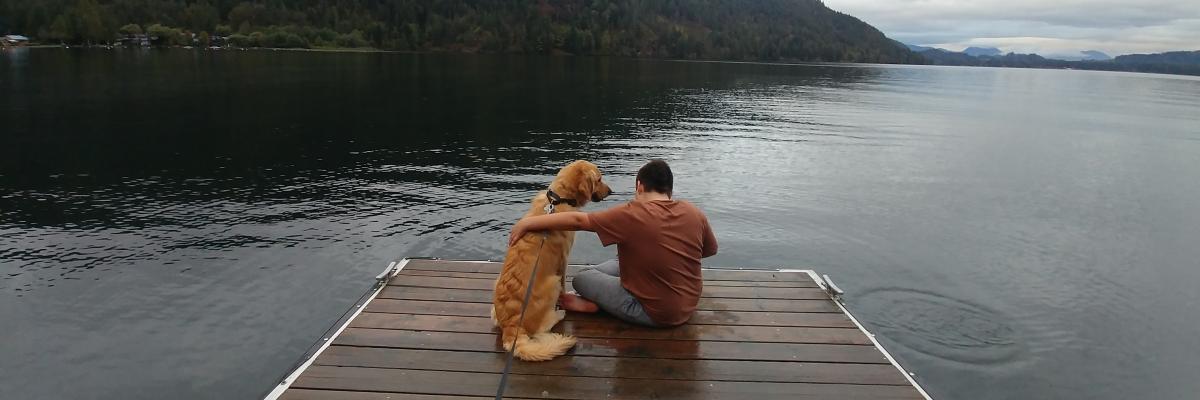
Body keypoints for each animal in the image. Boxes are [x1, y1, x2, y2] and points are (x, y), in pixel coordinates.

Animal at [492, 159, 614, 360]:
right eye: (599, 179)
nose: (611, 191)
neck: (559, 199)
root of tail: (511, 328)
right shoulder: (563, 259)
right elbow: (565, 284)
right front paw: (566, 298)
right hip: (552, 282)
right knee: (543, 326)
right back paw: (560, 313)